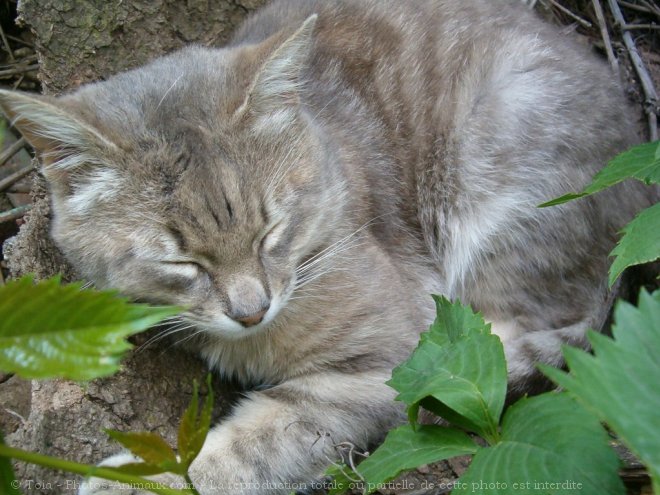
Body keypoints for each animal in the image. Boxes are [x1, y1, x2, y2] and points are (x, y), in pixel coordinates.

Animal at [0, 0, 652, 494]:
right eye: (182, 261)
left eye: (270, 231)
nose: (251, 311)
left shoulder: (381, 361)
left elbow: (254, 444)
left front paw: (143, 480)